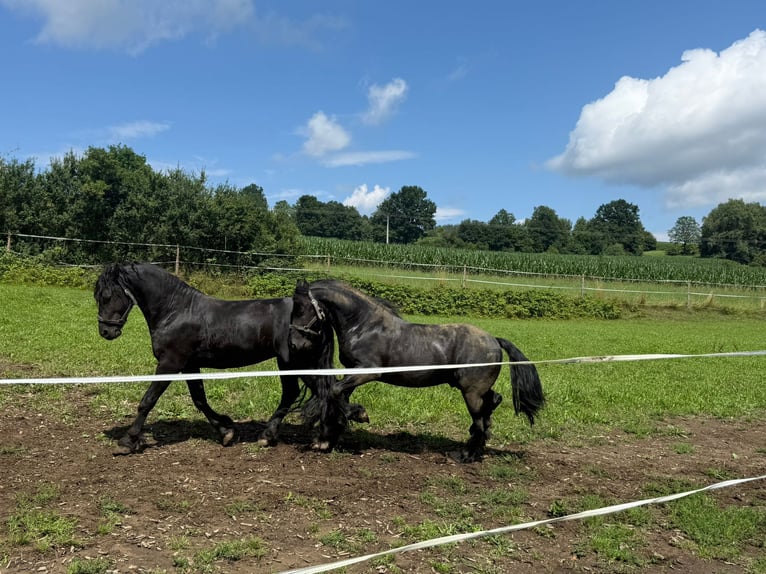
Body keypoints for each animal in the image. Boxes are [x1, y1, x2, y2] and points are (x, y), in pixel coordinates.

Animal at [94, 263, 358, 454]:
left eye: (106, 295)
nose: (106, 332)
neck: (176, 310)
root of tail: (319, 313)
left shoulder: (170, 363)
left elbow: (148, 400)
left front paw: (127, 441)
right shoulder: (190, 365)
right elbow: (200, 400)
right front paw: (226, 431)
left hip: (295, 363)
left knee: (318, 391)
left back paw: (306, 436)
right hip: (293, 363)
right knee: (316, 391)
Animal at [289, 279, 545, 462]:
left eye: (300, 307)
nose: (294, 343)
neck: (364, 326)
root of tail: (494, 340)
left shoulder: (367, 372)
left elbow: (334, 392)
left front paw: (358, 416)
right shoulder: (352, 373)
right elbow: (336, 397)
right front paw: (327, 438)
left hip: (471, 393)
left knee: (482, 420)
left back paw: (466, 455)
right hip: (477, 390)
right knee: (492, 404)